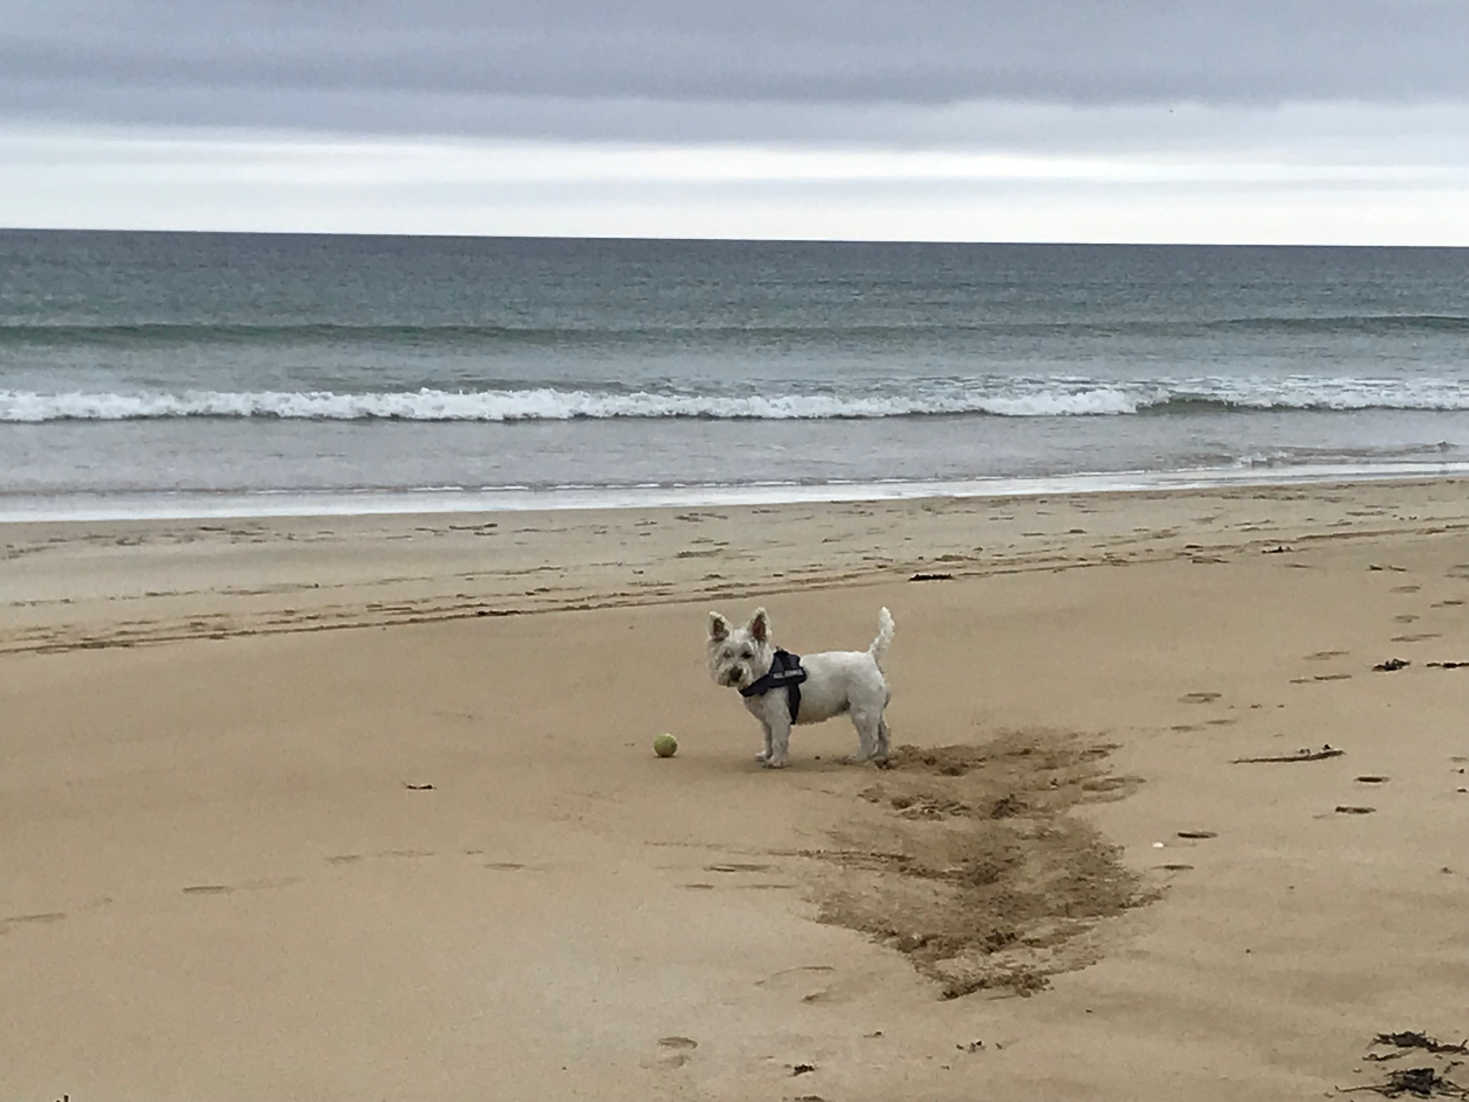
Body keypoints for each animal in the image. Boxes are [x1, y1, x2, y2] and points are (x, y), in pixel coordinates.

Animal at [702, 608, 887, 769]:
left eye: (748, 654)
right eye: (726, 654)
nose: (735, 673)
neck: (764, 674)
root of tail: (869, 657)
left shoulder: (779, 717)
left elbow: (778, 740)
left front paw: (776, 761)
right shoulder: (766, 721)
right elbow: (768, 738)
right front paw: (766, 755)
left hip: (861, 712)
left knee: (869, 738)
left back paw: (858, 757)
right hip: (872, 711)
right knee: (883, 732)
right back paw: (881, 755)